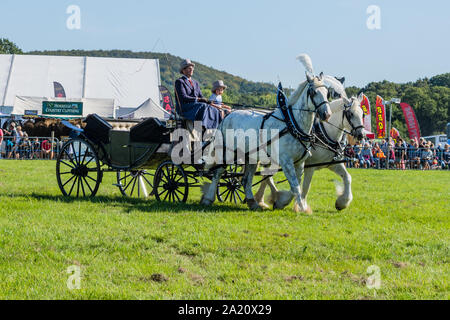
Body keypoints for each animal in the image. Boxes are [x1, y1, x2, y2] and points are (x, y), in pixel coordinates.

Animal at [200, 66, 330, 212]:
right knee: (218, 173)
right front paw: (300, 207)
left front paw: (283, 202)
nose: (327, 114)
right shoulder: (286, 161)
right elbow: (295, 186)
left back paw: (253, 203)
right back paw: (208, 198)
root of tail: (228, 116)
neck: (292, 124)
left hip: (250, 157)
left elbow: (296, 186)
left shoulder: (299, 163)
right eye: (313, 92)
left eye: (327, 92)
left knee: (246, 180)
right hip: (228, 153)